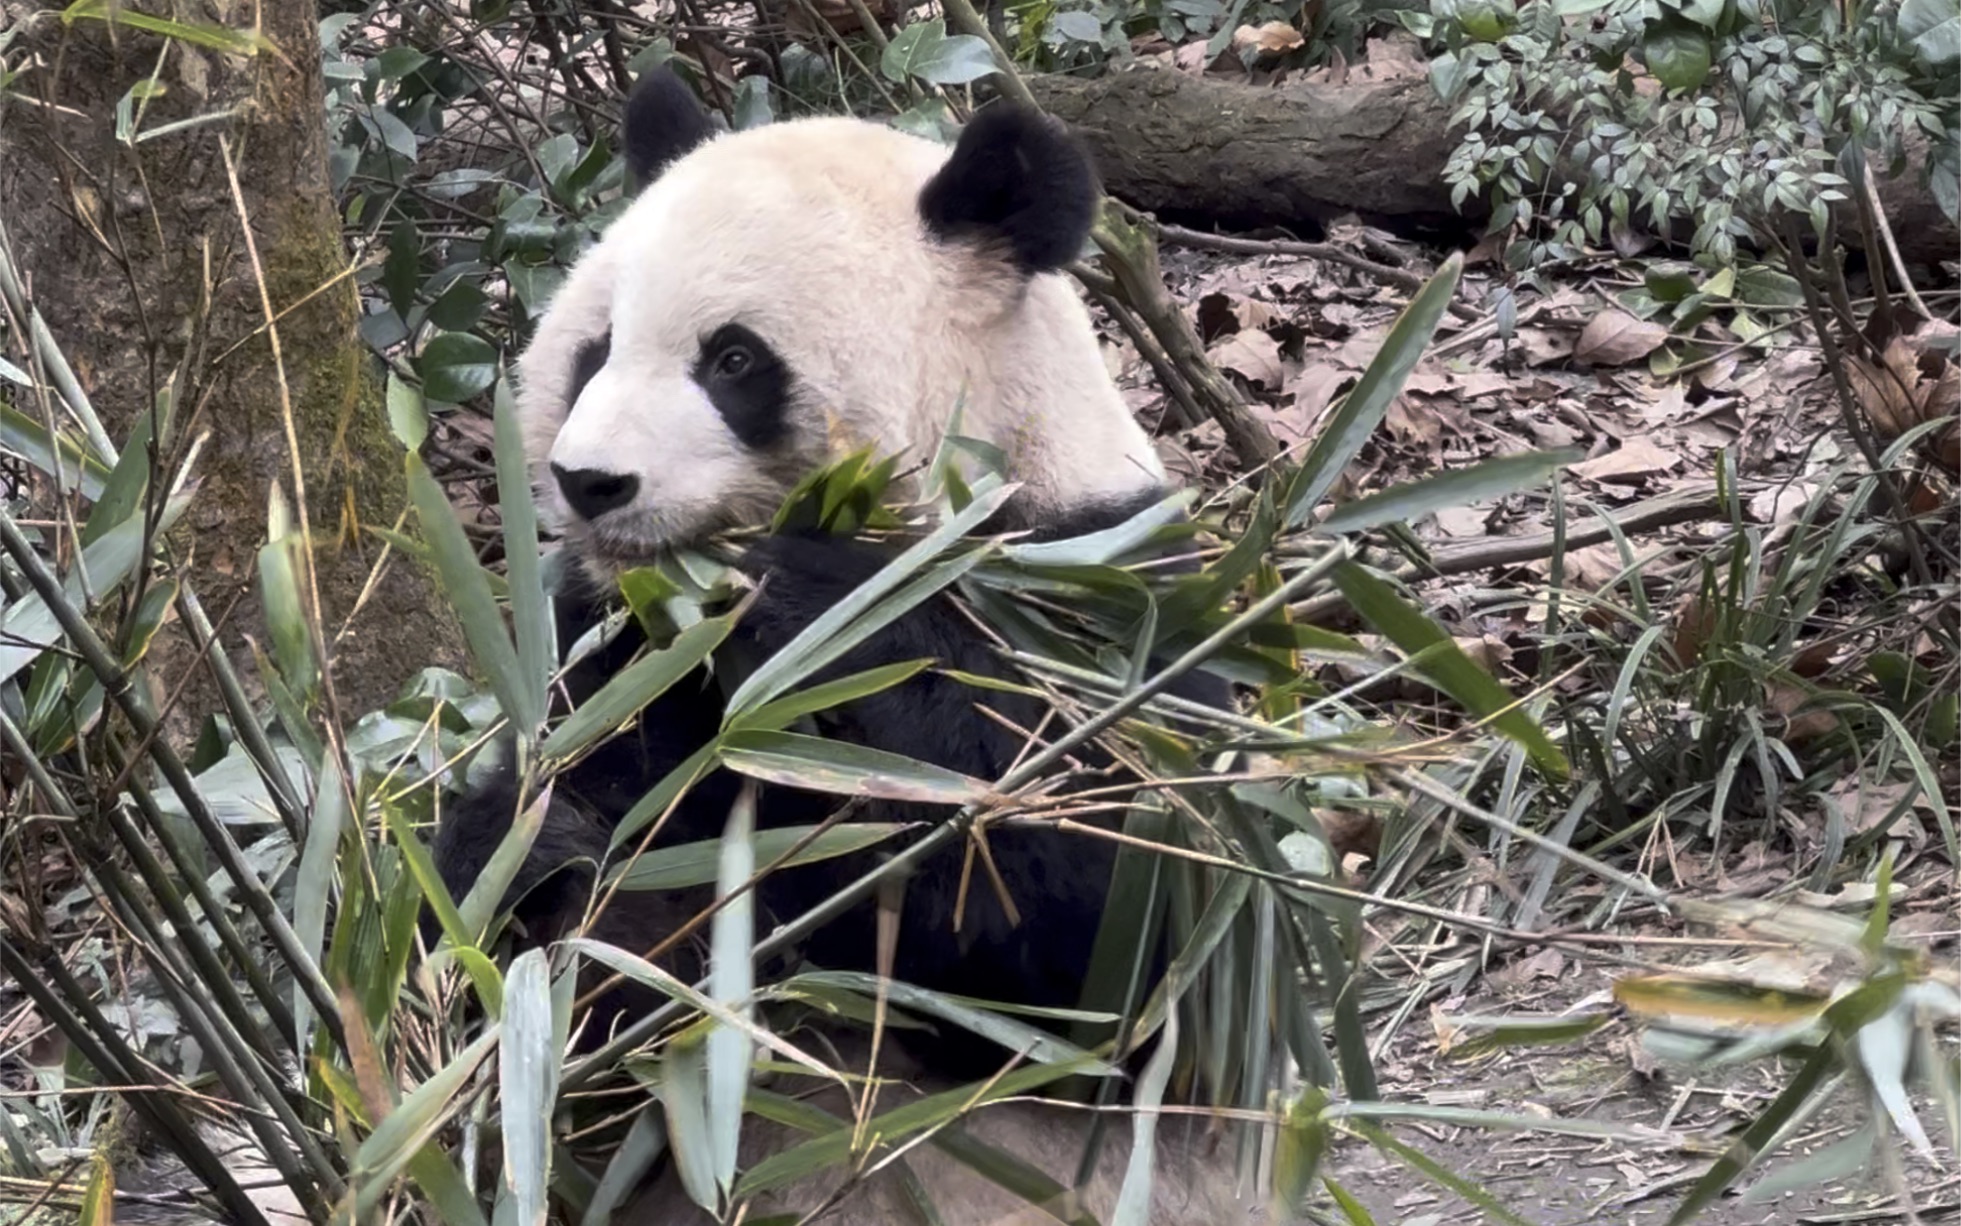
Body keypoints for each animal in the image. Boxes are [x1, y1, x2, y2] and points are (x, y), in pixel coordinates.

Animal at [431, 64, 1286, 1224]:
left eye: (732, 359)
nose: (589, 482)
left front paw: (807, 600)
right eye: (594, 349)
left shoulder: (1118, 599)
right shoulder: (613, 647)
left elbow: (1123, 935)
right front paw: (539, 859)